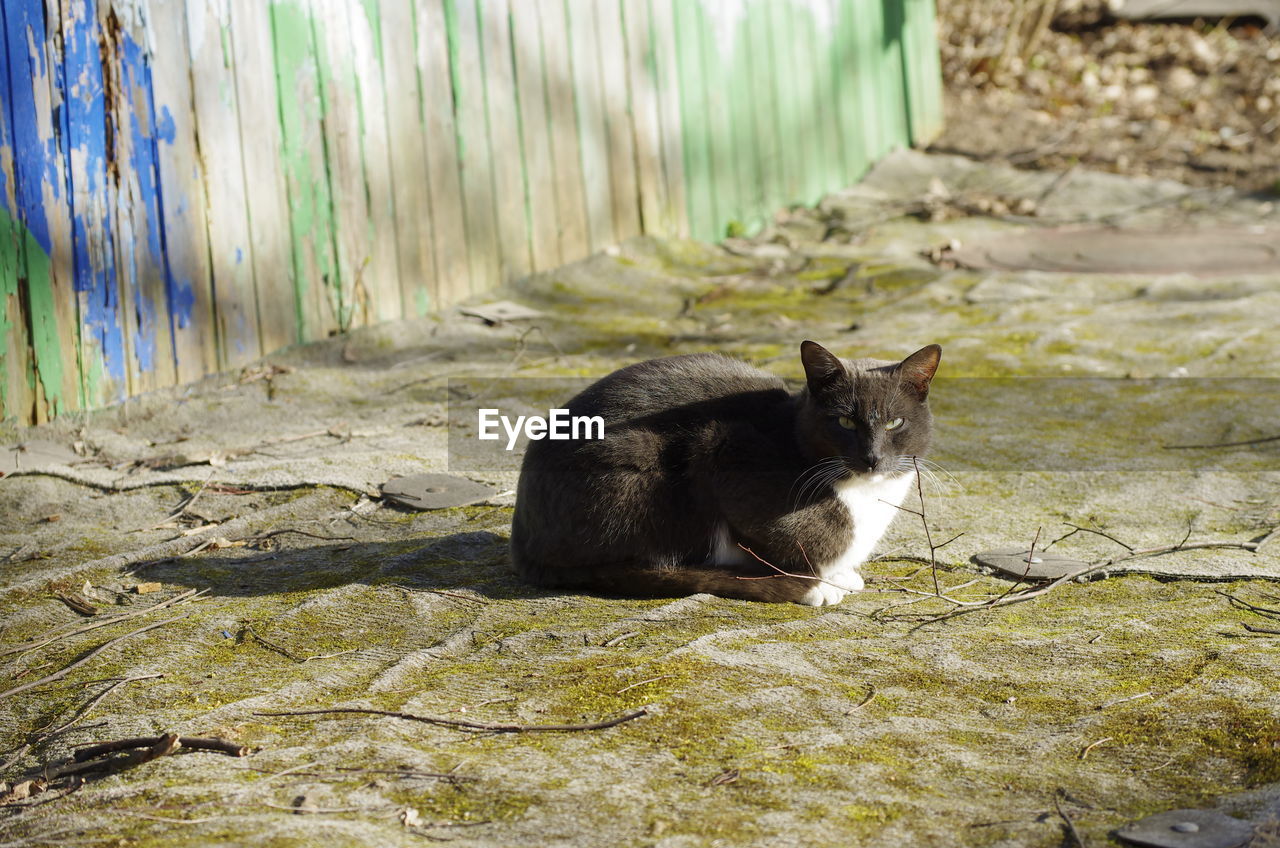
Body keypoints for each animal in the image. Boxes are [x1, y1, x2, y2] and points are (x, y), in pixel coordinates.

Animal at [509, 343, 942, 607]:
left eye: (895, 422)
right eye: (845, 422)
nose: (872, 458)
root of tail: (523, 542)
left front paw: (840, 575)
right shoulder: (725, 448)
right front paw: (816, 584)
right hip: (637, 462)